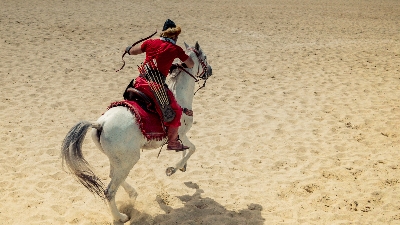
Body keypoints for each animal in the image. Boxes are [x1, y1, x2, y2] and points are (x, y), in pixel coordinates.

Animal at [60, 41, 212, 222]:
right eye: (204, 57)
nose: (210, 71)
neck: (179, 96)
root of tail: (100, 124)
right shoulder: (179, 134)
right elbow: (192, 148)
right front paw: (173, 169)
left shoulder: (181, 136)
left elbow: (187, 149)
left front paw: (182, 167)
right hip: (129, 159)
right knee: (109, 191)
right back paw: (120, 217)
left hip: (119, 159)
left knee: (113, 175)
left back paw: (132, 194)